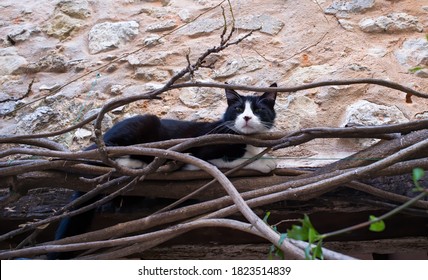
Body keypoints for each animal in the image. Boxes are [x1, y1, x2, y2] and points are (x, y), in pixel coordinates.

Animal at [49, 82, 278, 258]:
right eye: (238, 109)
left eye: (258, 110)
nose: (247, 118)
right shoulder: (199, 152)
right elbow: (236, 158)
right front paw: (266, 162)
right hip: (142, 124)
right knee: (102, 153)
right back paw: (137, 163)